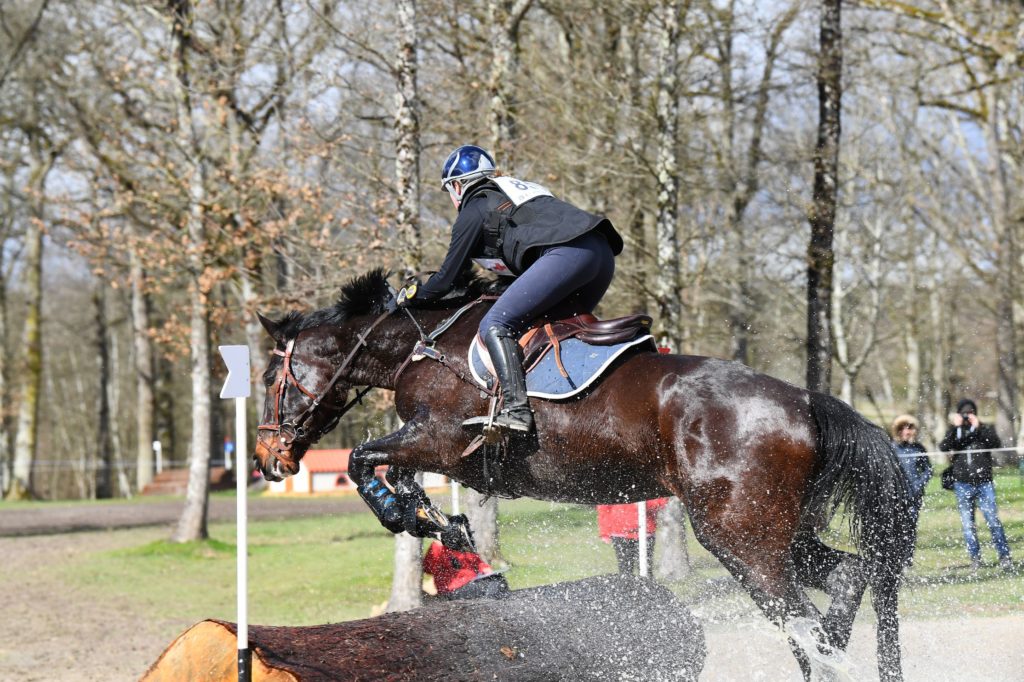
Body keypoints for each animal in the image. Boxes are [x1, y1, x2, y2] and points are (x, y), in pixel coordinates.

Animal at [253, 266, 913, 679]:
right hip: (777, 531)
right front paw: (438, 522)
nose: (268, 459)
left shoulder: (440, 440)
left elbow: (366, 460)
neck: (421, 346)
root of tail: (805, 401)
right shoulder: (433, 449)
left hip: (740, 537)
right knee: (847, 579)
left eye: (269, 378)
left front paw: (409, 515)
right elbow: (391, 471)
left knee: (800, 621)